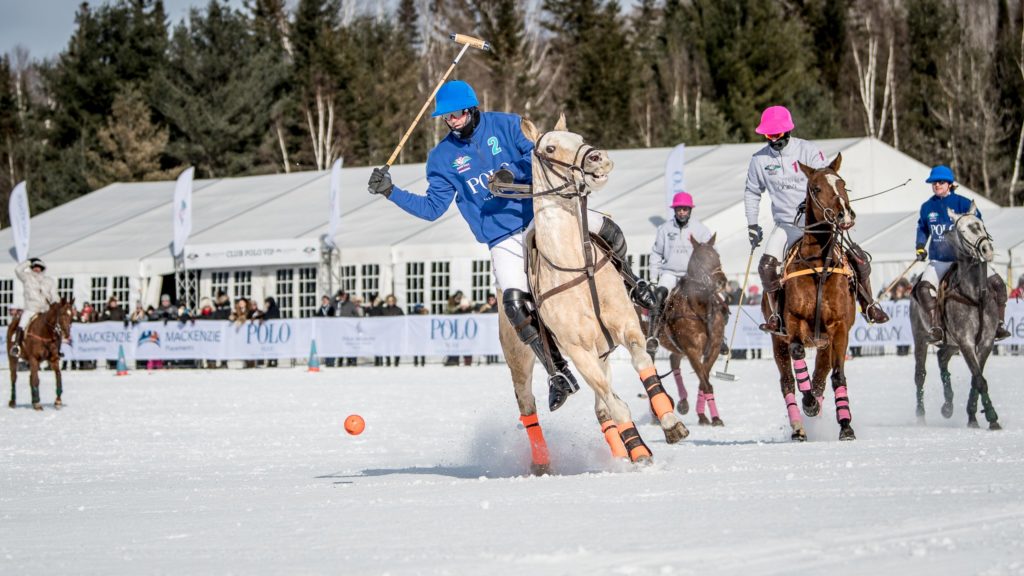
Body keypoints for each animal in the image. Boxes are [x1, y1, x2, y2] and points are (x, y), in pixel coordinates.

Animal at [655, 234, 729, 426]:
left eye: (717, 256)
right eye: (699, 260)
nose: (721, 281)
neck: (700, 309)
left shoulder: (713, 348)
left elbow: (704, 381)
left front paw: (706, 416)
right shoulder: (692, 349)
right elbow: (706, 383)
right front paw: (714, 418)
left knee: (674, 362)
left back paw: (683, 403)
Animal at [765, 152, 860, 438]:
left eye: (842, 184)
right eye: (816, 188)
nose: (844, 215)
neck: (819, 264)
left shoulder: (838, 328)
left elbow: (837, 375)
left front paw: (846, 426)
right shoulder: (793, 322)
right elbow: (797, 356)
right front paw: (808, 404)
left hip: (824, 343)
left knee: (820, 376)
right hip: (777, 340)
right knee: (787, 381)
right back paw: (799, 426)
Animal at [913, 199, 999, 428]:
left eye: (980, 224)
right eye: (962, 230)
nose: (986, 250)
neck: (974, 295)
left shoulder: (986, 341)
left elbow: (976, 378)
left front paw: (973, 416)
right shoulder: (966, 340)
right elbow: (979, 379)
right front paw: (992, 418)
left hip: (951, 342)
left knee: (942, 357)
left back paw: (948, 406)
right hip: (920, 337)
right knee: (920, 374)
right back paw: (921, 415)